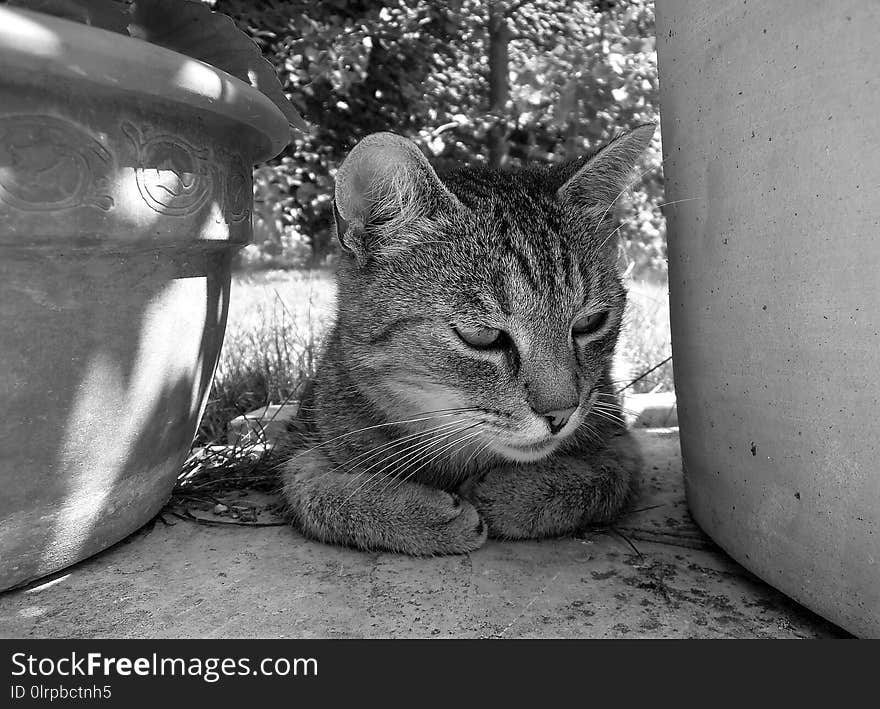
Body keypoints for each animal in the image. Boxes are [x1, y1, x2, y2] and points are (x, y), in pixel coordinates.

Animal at [280, 124, 652, 556]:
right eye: (482, 336)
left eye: (590, 322)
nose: (561, 414)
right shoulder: (302, 442)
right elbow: (315, 493)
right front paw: (417, 513)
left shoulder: (620, 442)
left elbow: (601, 480)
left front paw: (510, 494)